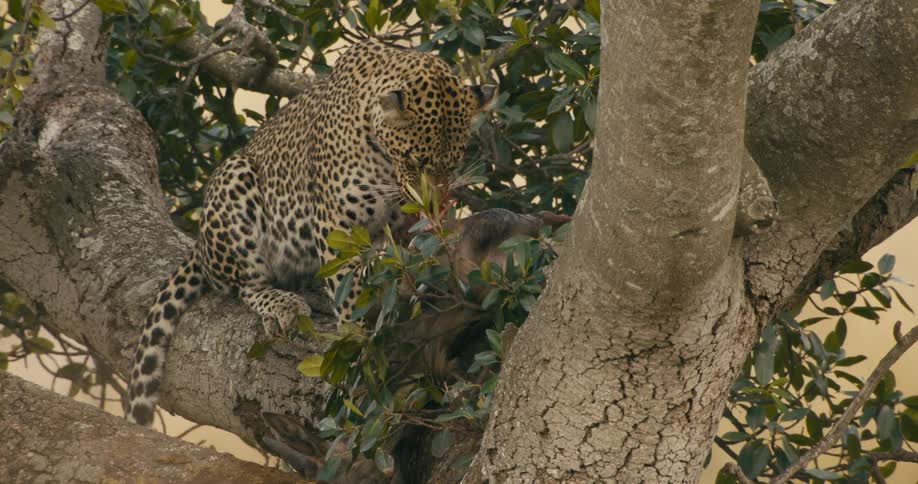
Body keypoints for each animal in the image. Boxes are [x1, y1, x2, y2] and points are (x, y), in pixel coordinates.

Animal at [126, 39, 496, 426]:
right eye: (416, 161)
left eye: (452, 164)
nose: (433, 203)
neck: (384, 160)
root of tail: (199, 247)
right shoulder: (336, 224)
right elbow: (351, 296)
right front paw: (359, 344)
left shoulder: (403, 229)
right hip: (236, 180)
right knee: (244, 286)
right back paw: (283, 304)